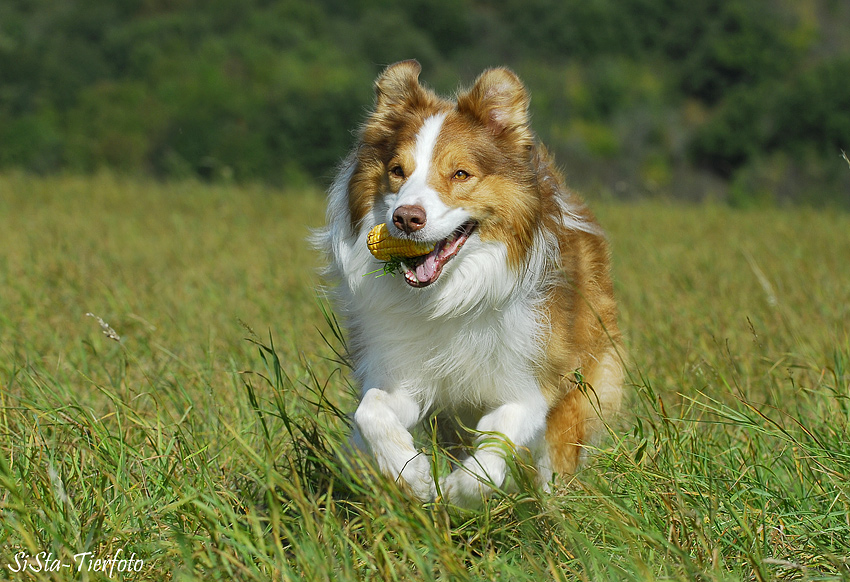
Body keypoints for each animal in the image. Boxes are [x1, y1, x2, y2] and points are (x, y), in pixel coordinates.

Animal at [314, 59, 620, 506]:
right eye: (397, 171)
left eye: (460, 174)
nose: (406, 218)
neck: (449, 296)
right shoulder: (402, 373)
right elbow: (371, 410)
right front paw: (411, 473)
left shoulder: (532, 381)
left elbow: (498, 437)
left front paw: (463, 489)